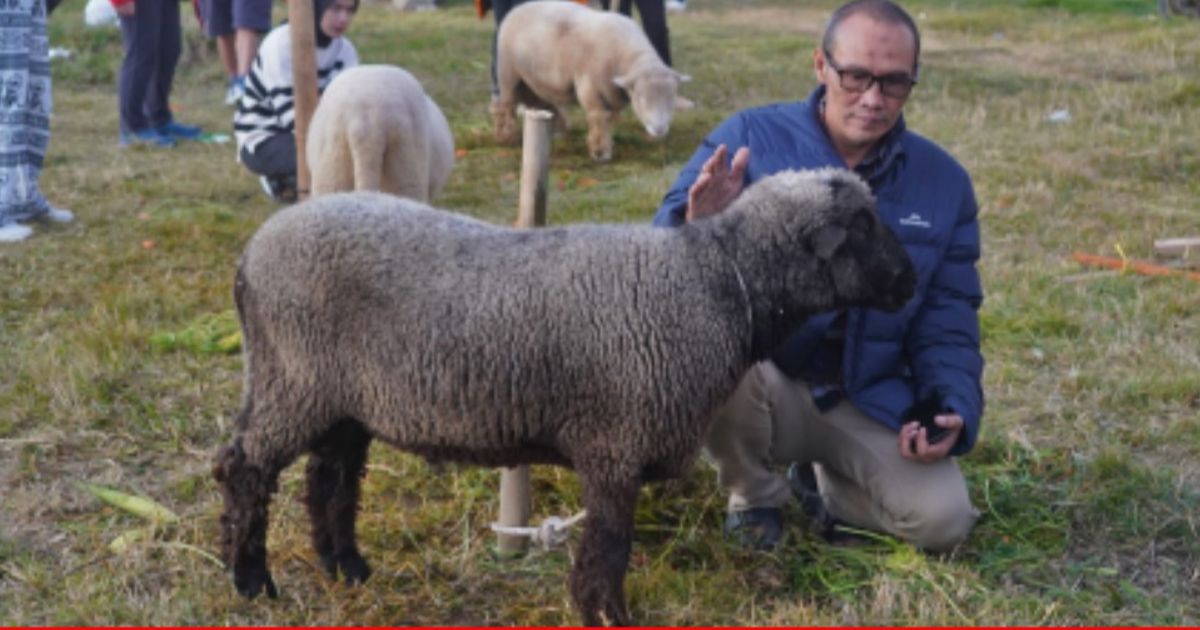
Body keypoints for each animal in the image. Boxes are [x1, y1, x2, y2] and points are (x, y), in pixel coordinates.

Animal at [489, 0, 696, 162]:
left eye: (671, 99)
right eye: (641, 99)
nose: (659, 130)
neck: (626, 57)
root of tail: (518, 8)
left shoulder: (611, 94)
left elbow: (608, 119)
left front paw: (606, 144)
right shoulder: (590, 88)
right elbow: (598, 118)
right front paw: (600, 151)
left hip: (534, 77)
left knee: (537, 99)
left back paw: (556, 127)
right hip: (508, 72)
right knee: (506, 104)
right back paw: (505, 136)